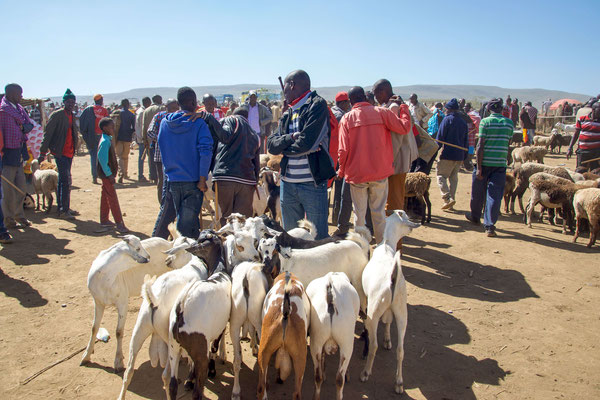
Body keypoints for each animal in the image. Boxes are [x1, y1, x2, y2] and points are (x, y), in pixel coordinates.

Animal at [169, 233, 234, 400]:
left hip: (173, 348)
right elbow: (214, 347)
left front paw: (189, 379)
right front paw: (212, 371)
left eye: (202, 240)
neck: (220, 271)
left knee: (172, 385)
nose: (191, 248)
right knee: (197, 393)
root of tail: (182, 308)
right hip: (199, 348)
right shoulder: (219, 329)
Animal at [358, 211, 420, 396]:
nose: (415, 225)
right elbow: (388, 322)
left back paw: (366, 373)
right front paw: (387, 340)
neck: (386, 245)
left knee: (374, 345)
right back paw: (399, 382)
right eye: (406, 217)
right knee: (400, 349)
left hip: (376, 309)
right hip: (401, 312)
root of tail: (393, 278)